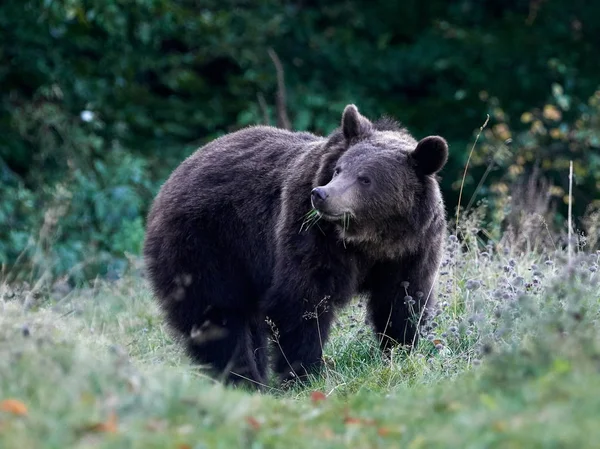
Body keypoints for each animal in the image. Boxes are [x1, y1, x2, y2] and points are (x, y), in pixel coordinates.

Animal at [143, 104, 448, 384]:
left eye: (365, 178)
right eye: (339, 170)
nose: (321, 194)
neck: (371, 240)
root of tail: (176, 173)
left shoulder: (413, 250)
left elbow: (403, 302)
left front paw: (401, 350)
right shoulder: (310, 237)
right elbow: (302, 303)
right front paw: (305, 371)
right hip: (207, 245)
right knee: (217, 316)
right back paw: (242, 378)